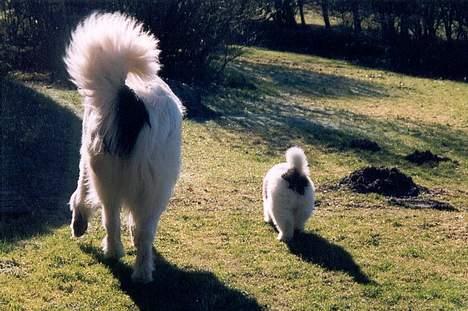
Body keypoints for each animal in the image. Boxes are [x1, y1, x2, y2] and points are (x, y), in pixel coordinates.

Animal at [64, 12, 185, 284]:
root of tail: (130, 98)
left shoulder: (85, 161)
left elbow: (80, 192)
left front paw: (79, 222)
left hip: (108, 178)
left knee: (111, 218)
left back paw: (112, 252)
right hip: (157, 186)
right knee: (145, 231)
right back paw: (142, 272)